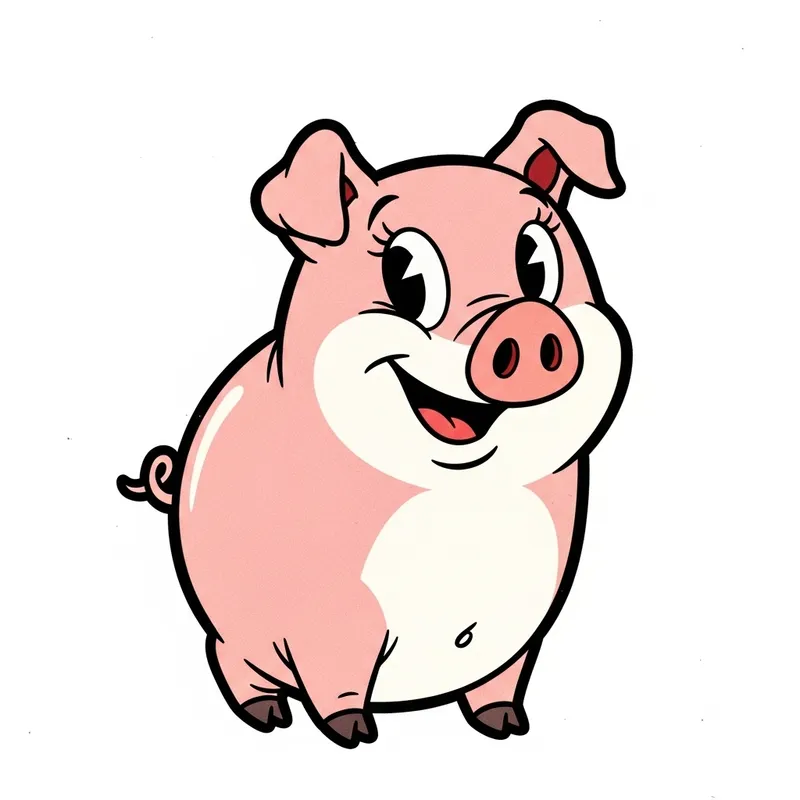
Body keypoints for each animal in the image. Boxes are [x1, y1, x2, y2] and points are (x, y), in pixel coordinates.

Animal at [118, 100, 632, 749]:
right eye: (407, 276)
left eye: (537, 263)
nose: (527, 321)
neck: (463, 498)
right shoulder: (330, 615)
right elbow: (338, 671)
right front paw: (354, 733)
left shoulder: (529, 614)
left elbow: (504, 676)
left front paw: (507, 724)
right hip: (238, 620)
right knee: (229, 656)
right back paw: (268, 716)